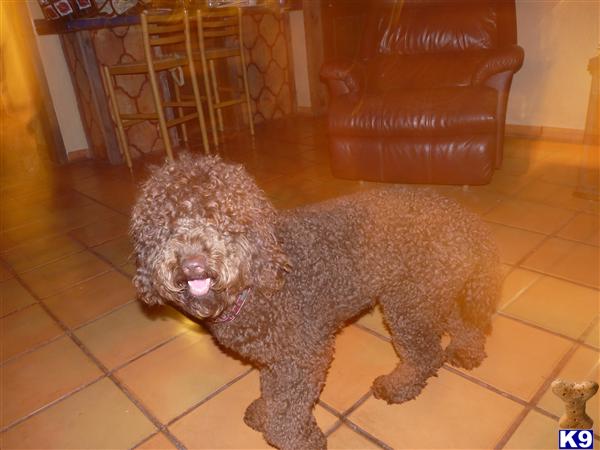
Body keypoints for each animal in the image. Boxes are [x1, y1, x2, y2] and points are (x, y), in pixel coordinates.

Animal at [131, 153, 502, 448]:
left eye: (223, 217)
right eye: (164, 224)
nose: (192, 263)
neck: (256, 282)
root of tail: (465, 218)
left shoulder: (305, 356)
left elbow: (287, 411)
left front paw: (296, 438)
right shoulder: (276, 359)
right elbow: (274, 394)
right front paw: (265, 411)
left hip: (409, 303)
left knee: (426, 355)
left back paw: (399, 385)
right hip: (431, 293)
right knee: (461, 322)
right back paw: (468, 350)